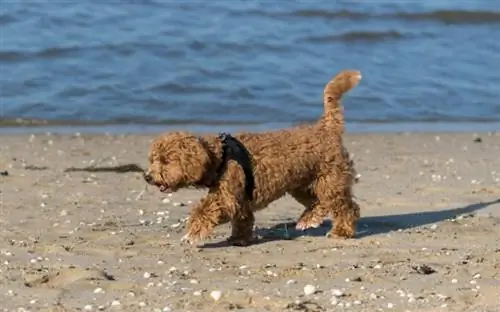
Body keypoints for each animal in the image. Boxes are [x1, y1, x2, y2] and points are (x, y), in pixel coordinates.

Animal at [143, 69, 362, 245]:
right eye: (152, 160)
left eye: (165, 161)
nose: (147, 176)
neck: (220, 156)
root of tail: (326, 127)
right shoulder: (241, 201)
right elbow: (243, 220)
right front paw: (239, 239)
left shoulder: (227, 197)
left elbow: (205, 210)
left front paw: (193, 233)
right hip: (303, 183)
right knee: (319, 203)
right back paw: (309, 219)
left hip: (330, 180)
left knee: (347, 207)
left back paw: (341, 231)